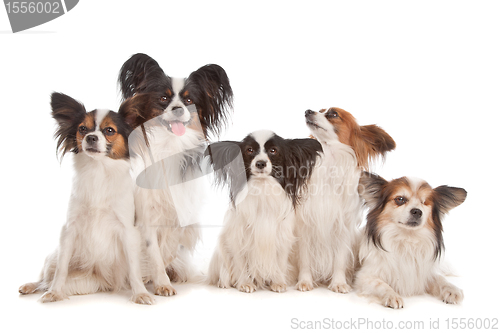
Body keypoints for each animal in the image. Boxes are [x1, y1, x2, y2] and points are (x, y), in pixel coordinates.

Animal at [18, 92, 153, 304]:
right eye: (82, 129)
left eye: (109, 130)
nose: (91, 137)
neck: (98, 171)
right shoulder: (69, 230)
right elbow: (61, 269)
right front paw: (55, 292)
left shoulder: (127, 231)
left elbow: (134, 268)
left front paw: (140, 293)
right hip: (53, 258)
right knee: (46, 279)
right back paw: (32, 286)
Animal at [117, 52, 234, 296]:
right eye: (163, 98)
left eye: (189, 101)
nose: (178, 109)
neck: (170, 145)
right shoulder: (146, 213)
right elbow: (153, 251)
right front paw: (161, 282)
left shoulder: (181, 206)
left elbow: (169, 246)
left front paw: (162, 276)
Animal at [208, 130, 324, 290]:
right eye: (249, 150)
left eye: (273, 150)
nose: (260, 163)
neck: (262, 188)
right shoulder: (237, 237)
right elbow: (240, 262)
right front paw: (245, 283)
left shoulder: (280, 237)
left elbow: (280, 262)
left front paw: (278, 282)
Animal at [294, 107, 396, 292]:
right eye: (319, 110)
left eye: (333, 114)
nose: (307, 111)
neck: (330, 164)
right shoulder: (305, 225)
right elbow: (305, 258)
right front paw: (305, 281)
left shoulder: (343, 227)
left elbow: (340, 259)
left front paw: (339, 283)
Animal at [356, 171, 468, 308]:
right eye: (400, 199)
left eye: (424, 202)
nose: (417, 211)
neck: (407, 239)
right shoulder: (365, 277)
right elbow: (381, 285)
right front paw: (392, 295)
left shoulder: (424, 274)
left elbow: (441, 279)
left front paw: (452, 290)